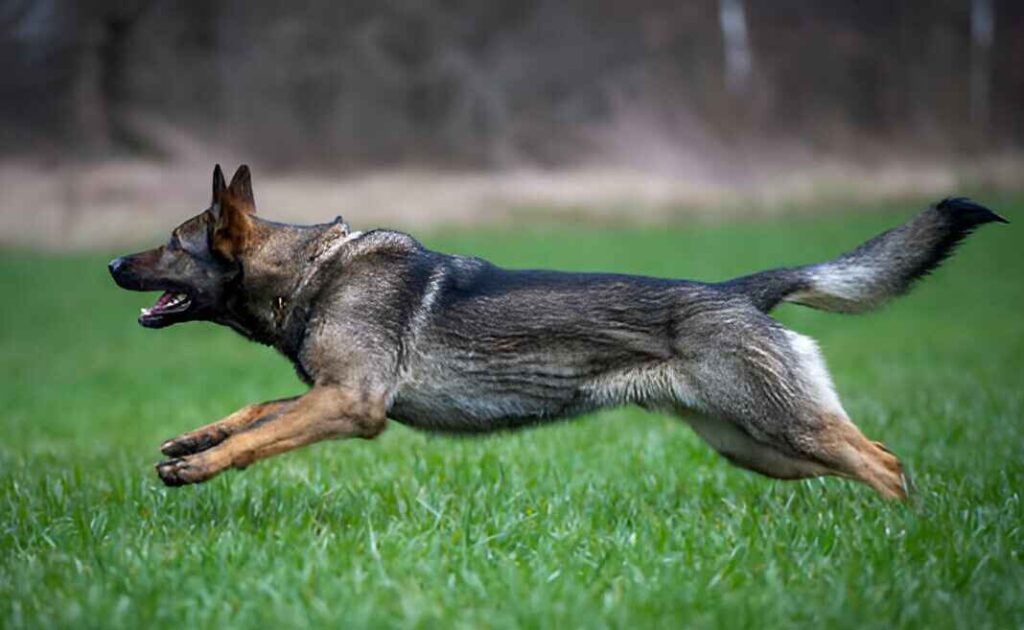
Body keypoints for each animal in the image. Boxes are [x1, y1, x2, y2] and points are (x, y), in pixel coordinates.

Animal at [108, 164, 1003, 499]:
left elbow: (263, 434)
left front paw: (198, 467)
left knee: (884, 464)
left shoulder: (350, 406)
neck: (309, 270)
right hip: (757, 447)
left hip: (779, 427)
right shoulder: (330, 394)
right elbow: (257, 412)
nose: (112, 262)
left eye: (172, 244)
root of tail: (739, 287)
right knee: (873, 459)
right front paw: (193, 441)